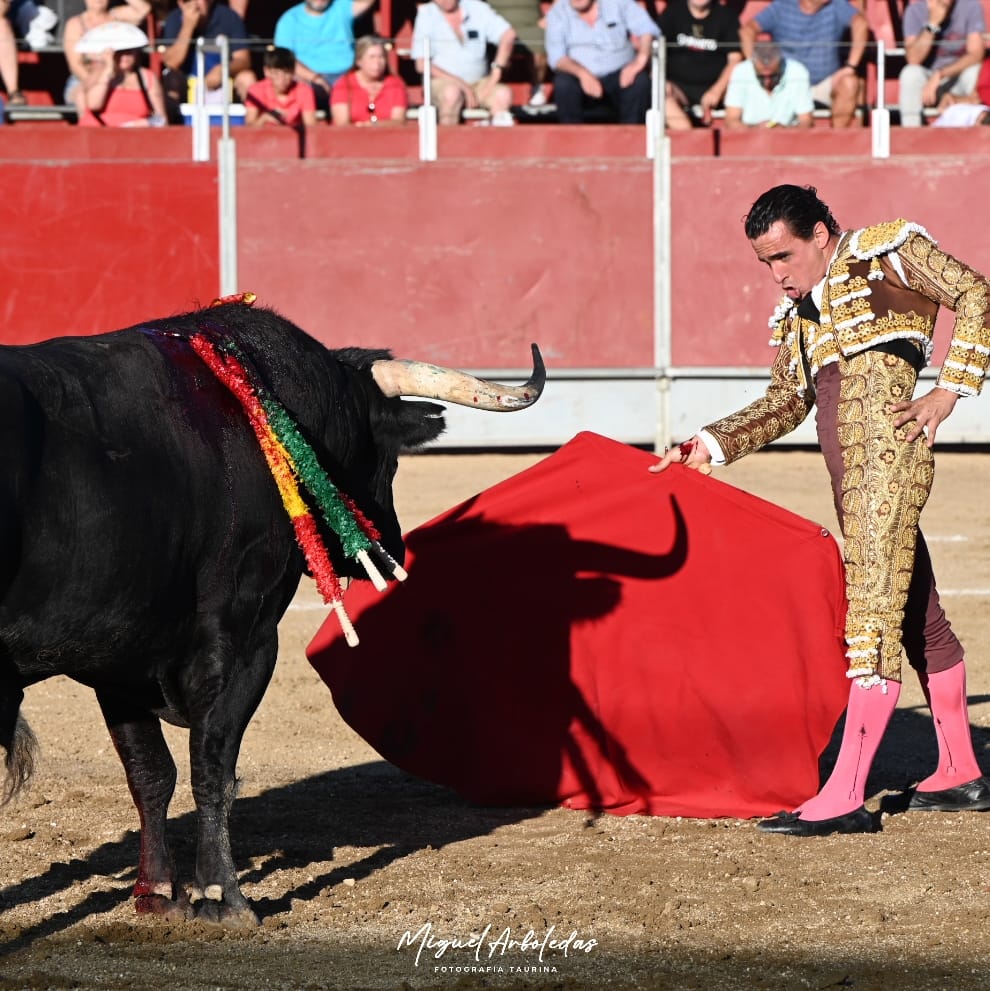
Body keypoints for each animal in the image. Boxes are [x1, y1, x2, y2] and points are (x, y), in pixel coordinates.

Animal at [0, 302, 548, 928]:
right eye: (384, 455)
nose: (394, 548)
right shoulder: (247, 641)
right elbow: (212, 766)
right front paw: (225, 898)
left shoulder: (117, 656)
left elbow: (150, 772)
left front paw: (158, 894)